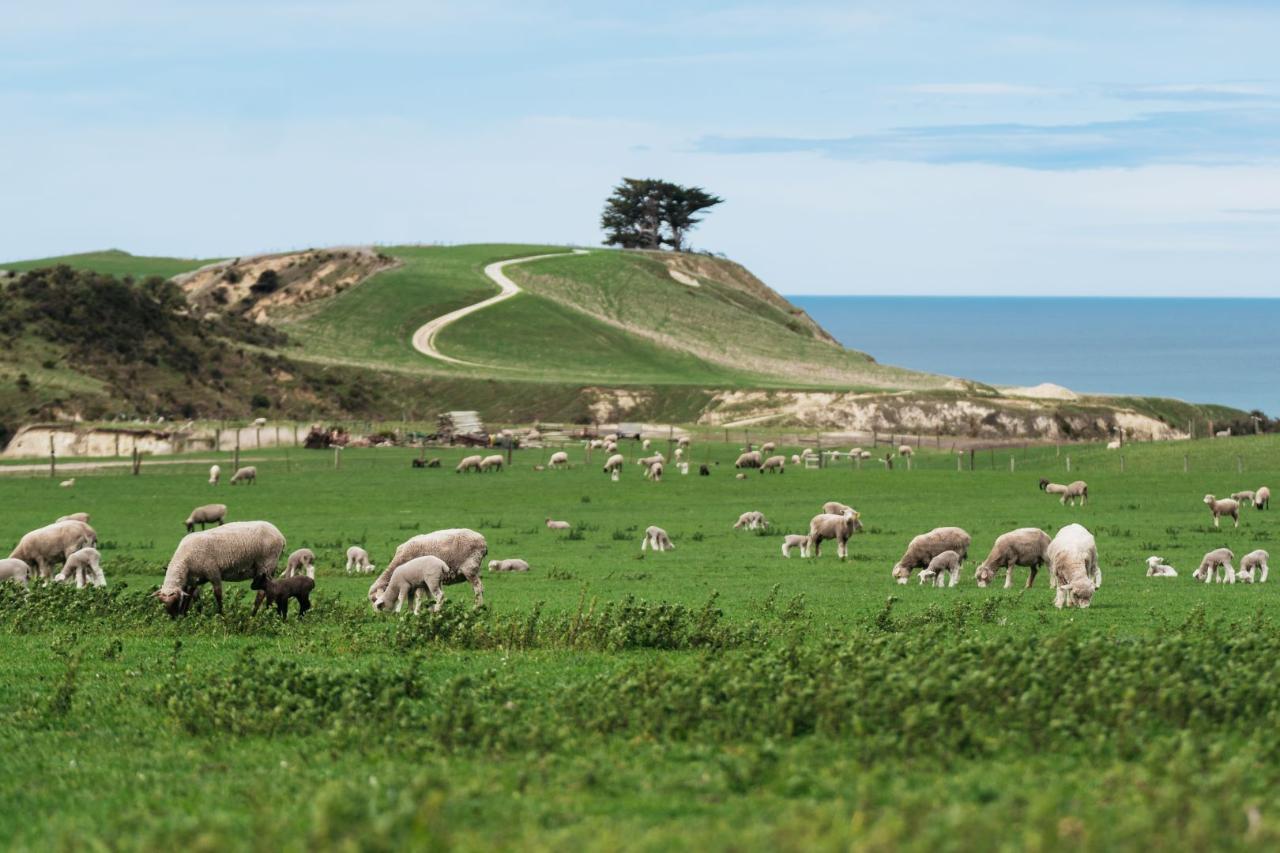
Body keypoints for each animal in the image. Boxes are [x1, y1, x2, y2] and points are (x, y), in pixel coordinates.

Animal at [155, 521, 286, 617]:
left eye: (175, 601)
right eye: (162, 603)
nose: (173, 619)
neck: (185, 561)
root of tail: (280, 535)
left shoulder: (213, 572)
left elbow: (218, 595)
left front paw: (221, 615)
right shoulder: (194, 579)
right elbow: (190, 595)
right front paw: (185, 614)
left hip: (267, 564)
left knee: (261, 593)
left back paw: (253, 615)